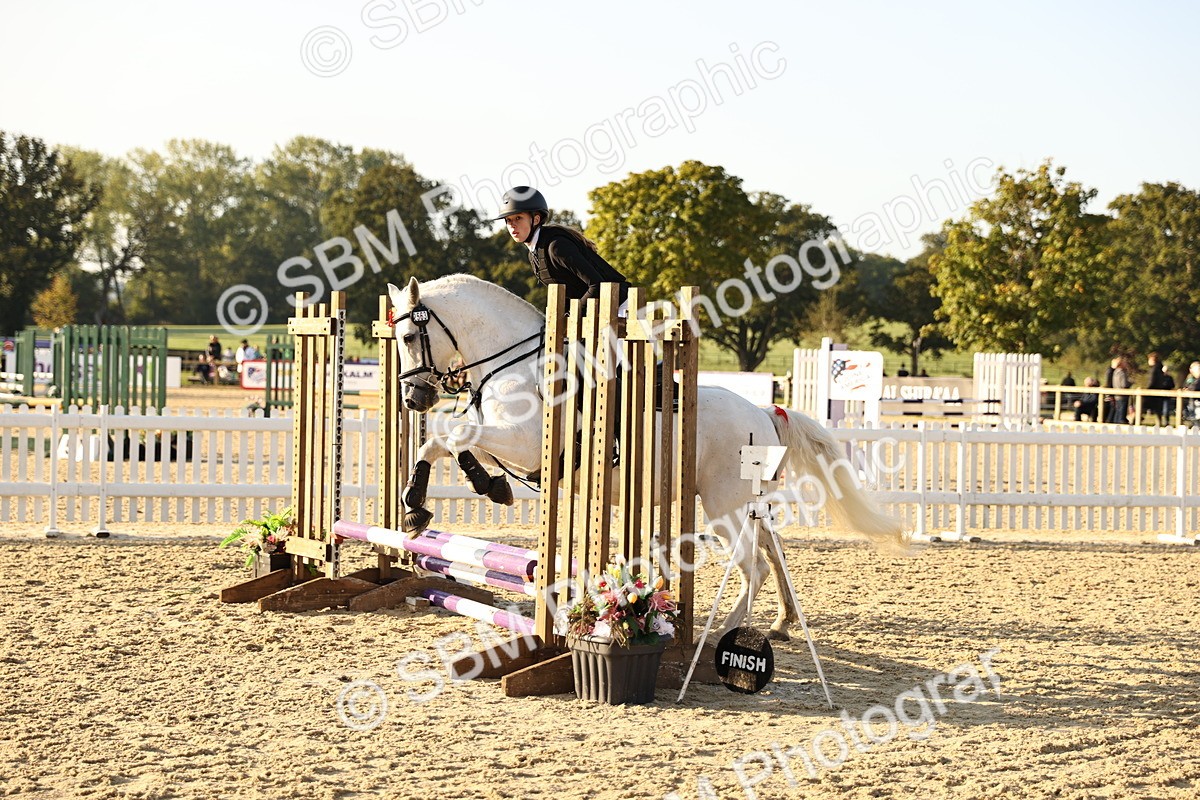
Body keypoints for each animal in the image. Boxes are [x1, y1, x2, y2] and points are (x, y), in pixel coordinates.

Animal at [387, 274, 909, 641]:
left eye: (411, 338)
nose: (413, 398)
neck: (512, 361)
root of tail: (764, 413)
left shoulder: (524, 439)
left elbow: (449, 437)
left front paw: (427, 502)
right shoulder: (504, 438)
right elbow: (452, 441)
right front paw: (462, 492)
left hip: (723, 506)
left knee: (753, 566)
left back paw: (719, 633)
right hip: (746, 506)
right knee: (771, 552)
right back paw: (779, 623)